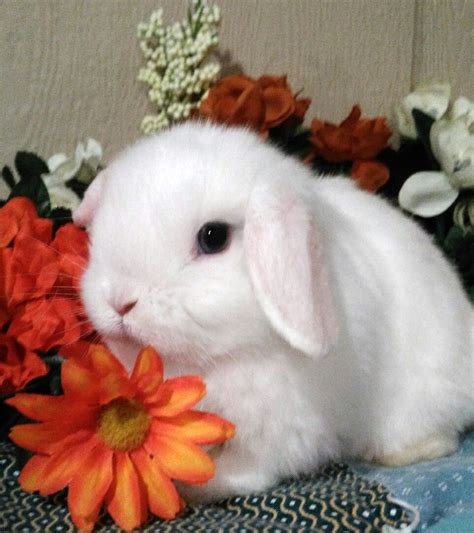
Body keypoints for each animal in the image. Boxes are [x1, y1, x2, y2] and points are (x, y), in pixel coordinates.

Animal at [74, 121, 474, 502]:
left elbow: (245, 470)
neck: (219, 359)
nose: (119, 301)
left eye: (213, 237)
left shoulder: (282, 430)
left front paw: (197, 487)